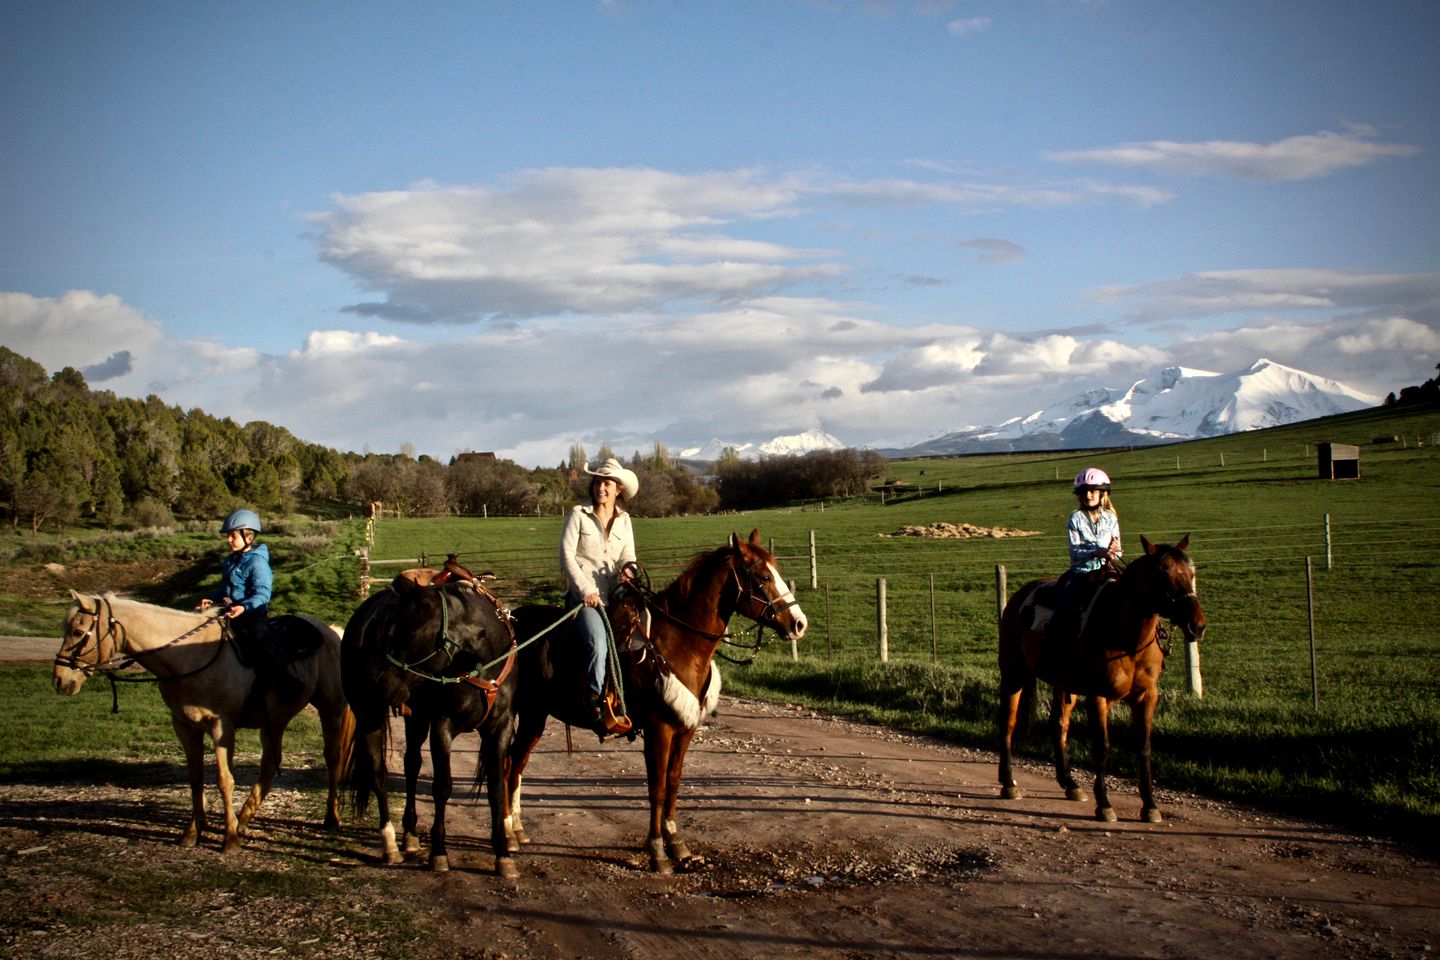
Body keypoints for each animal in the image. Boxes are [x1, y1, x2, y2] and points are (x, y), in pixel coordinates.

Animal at [54, 592, 352, 857]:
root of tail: (330, 631)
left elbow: (224, 780)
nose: (60, 679)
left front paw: (229, 840)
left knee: (332, 758)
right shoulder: (185, 727)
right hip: (275, 719)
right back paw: (244, 818)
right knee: (270, 764)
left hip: (330, 710)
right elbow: (196, 778)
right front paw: (192, 832)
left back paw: (331, 818)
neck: (190, 658)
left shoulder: (222, 726)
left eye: (78, 632)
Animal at [336, 569, 518, 880]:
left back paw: (409, 835)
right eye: (389, 632)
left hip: (416, 718)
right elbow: (442, 787)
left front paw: (503, 855)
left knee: (411, 765)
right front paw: (439, 853)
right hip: (369, 713)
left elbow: (496, 788)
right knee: (378, 774)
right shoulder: (443, 726)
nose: (382, 686)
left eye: (409, 635)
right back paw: (390, 846)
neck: (482, 664)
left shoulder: (500, 728)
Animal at [506, 529, 806, 875]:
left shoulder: (685, 730)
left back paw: (517, 829)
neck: (678, 643)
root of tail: (512, 621)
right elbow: (657, 789)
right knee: (509, 765)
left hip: (535, 717)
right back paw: (508, 834)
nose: (799, 623)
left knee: (516, 765)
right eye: (763, 577)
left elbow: (673, 784)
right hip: (528, 714)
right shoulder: (658, 730)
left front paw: (677, 844)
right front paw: (657, 851)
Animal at [1002, 538, 1203, 823]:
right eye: (1162, 574)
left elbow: (1144, 747)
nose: (1197, 625)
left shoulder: (1146, 696)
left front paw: (1150, 806)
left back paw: (1071, 785)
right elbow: (1102, 746)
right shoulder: (1098, 695)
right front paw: (1105, 805)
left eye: (1190, 574)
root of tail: (1018, 598)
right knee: (1007, 723)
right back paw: (1008, 784)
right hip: (1014, 673)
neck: (1127, 636)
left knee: (1059, 725)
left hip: (1064, 684)